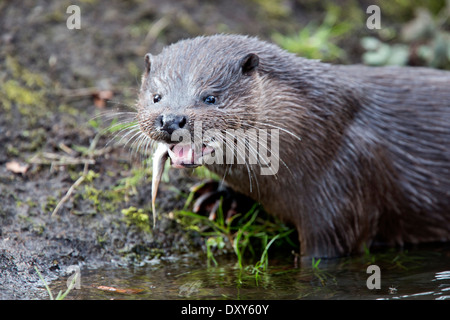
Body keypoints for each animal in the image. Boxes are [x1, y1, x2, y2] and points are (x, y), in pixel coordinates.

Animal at [137, 34, 450, 258]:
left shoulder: (345, 185)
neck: (322, 130)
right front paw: (219, 197)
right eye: (156, 97)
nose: (171, 119)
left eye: (211, 98)